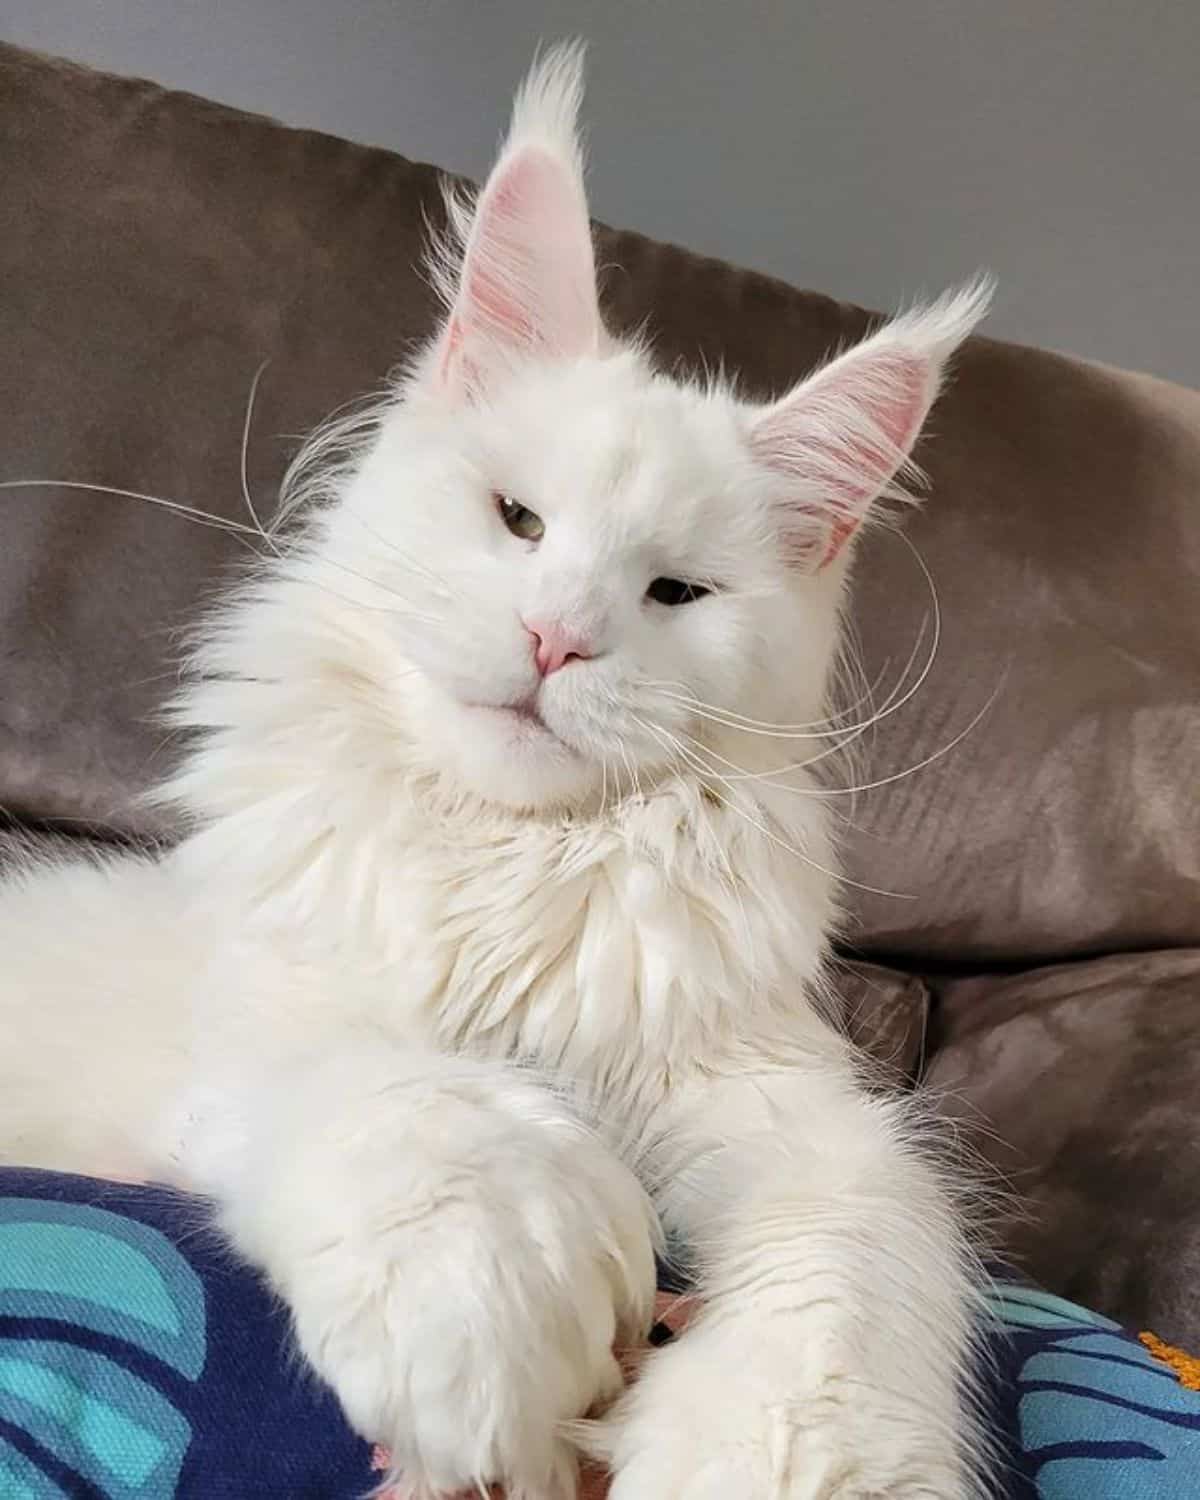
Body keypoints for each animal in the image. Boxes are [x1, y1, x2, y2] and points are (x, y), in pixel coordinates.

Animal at [0, 43, 996, 1500]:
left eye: (675, 592)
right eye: (518, 521)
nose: (556, 638)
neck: (512, 866)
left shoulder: (787, 1103)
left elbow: (844, 1279)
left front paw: (756, 1450)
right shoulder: (274, 1025)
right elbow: (430, 1119)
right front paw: (489, 1332)